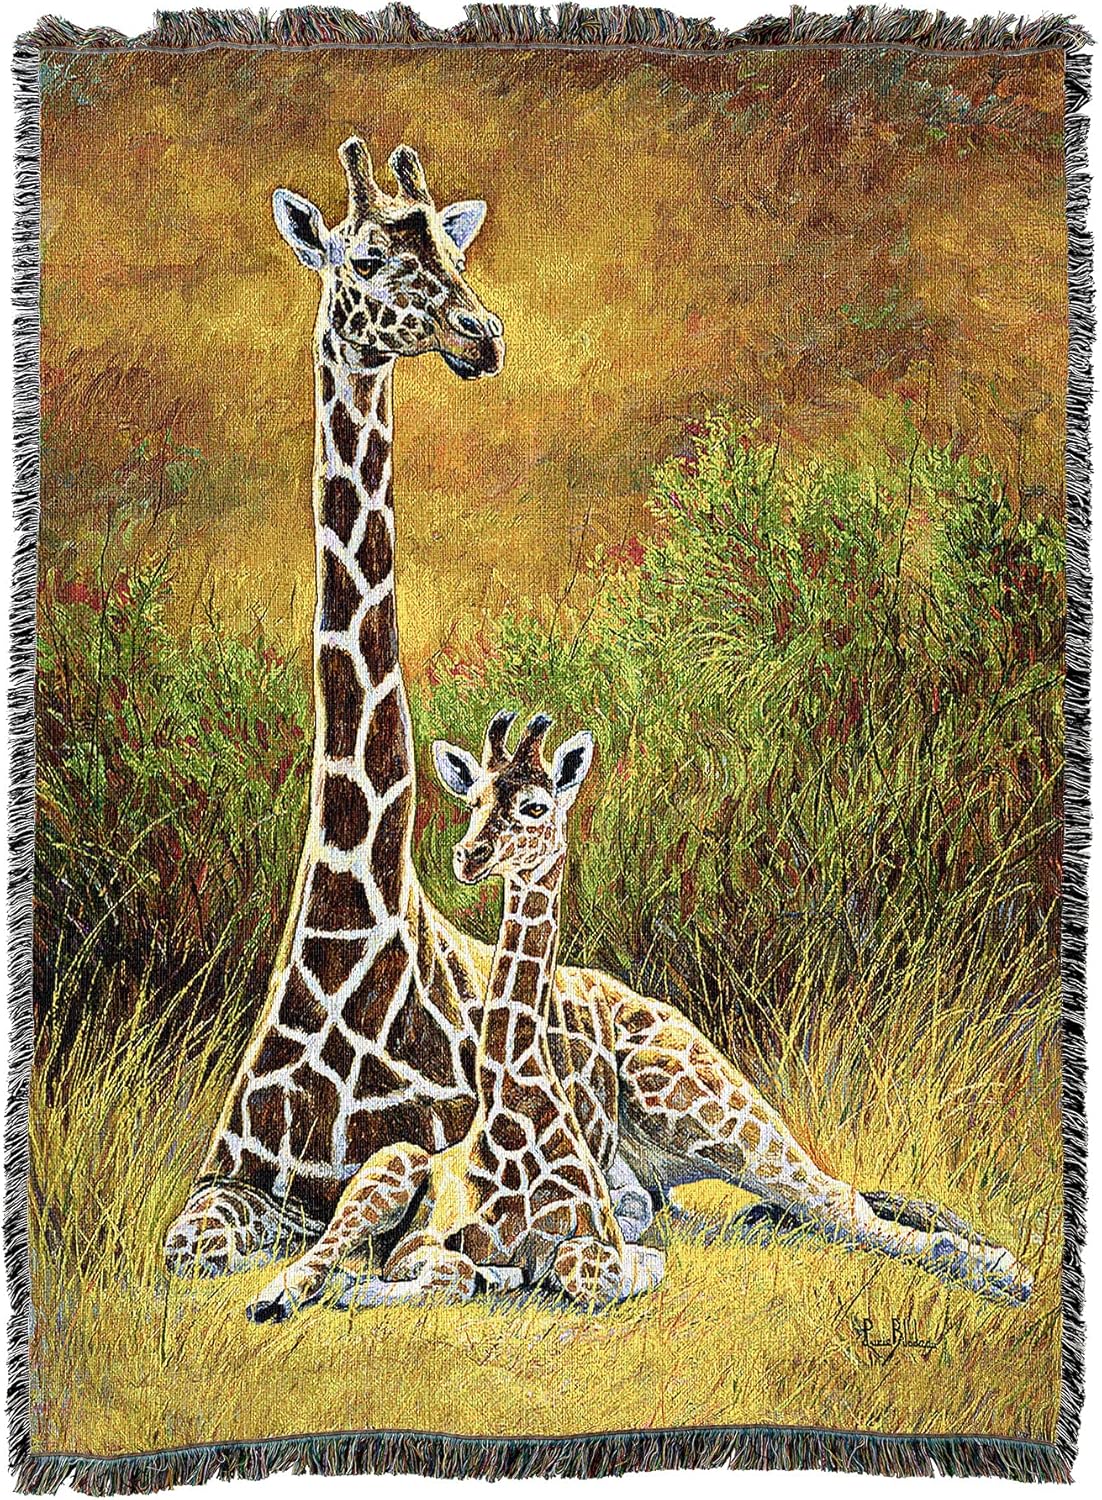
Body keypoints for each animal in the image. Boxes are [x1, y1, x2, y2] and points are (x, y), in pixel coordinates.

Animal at [246, 713, 665, 1321]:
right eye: (474, 799)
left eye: (535, 805)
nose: (469, 855)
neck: (515, 1110)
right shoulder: (418, 1244)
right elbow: (455, 1271)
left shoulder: (612, 1245)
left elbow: (590, 1266)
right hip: (392, 1165)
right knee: (322, 1253)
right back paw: (278, 1295)